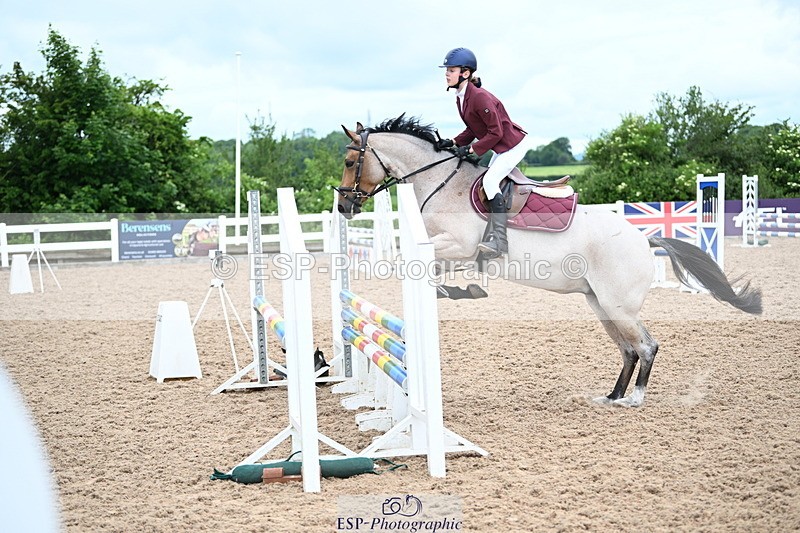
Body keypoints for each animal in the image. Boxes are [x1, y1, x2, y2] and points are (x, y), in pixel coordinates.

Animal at [335, 115, 762, 407]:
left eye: (351, 161)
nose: (343, 206)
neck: (440, 182)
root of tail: (644, 238)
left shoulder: (459, 246)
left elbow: (415, 263)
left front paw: (461, 291)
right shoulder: (448, 250)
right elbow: (422, 267)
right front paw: (458, 290)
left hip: (617, 305)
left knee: (646, 346)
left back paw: (634, 399)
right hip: (599, 303)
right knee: (628, 349)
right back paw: (611, 396)